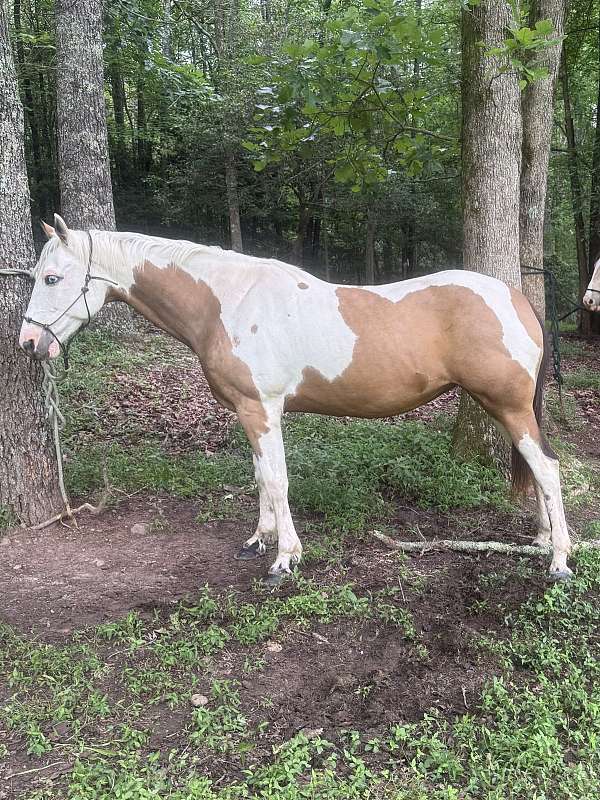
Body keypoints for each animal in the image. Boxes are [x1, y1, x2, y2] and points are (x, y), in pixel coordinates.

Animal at [19, 214, 573, 583]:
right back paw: (543, 538)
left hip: (508, 406)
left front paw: (284, 558)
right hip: (501, 407)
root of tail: (515, 296)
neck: (228, 303)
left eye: (52, 278)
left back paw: (560, 561)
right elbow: (260, 476)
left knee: (547, 469)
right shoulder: (249, 412)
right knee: (536, 468)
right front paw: (258, 540)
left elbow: (277, 479)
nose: (28, 343)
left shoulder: (261, 408)